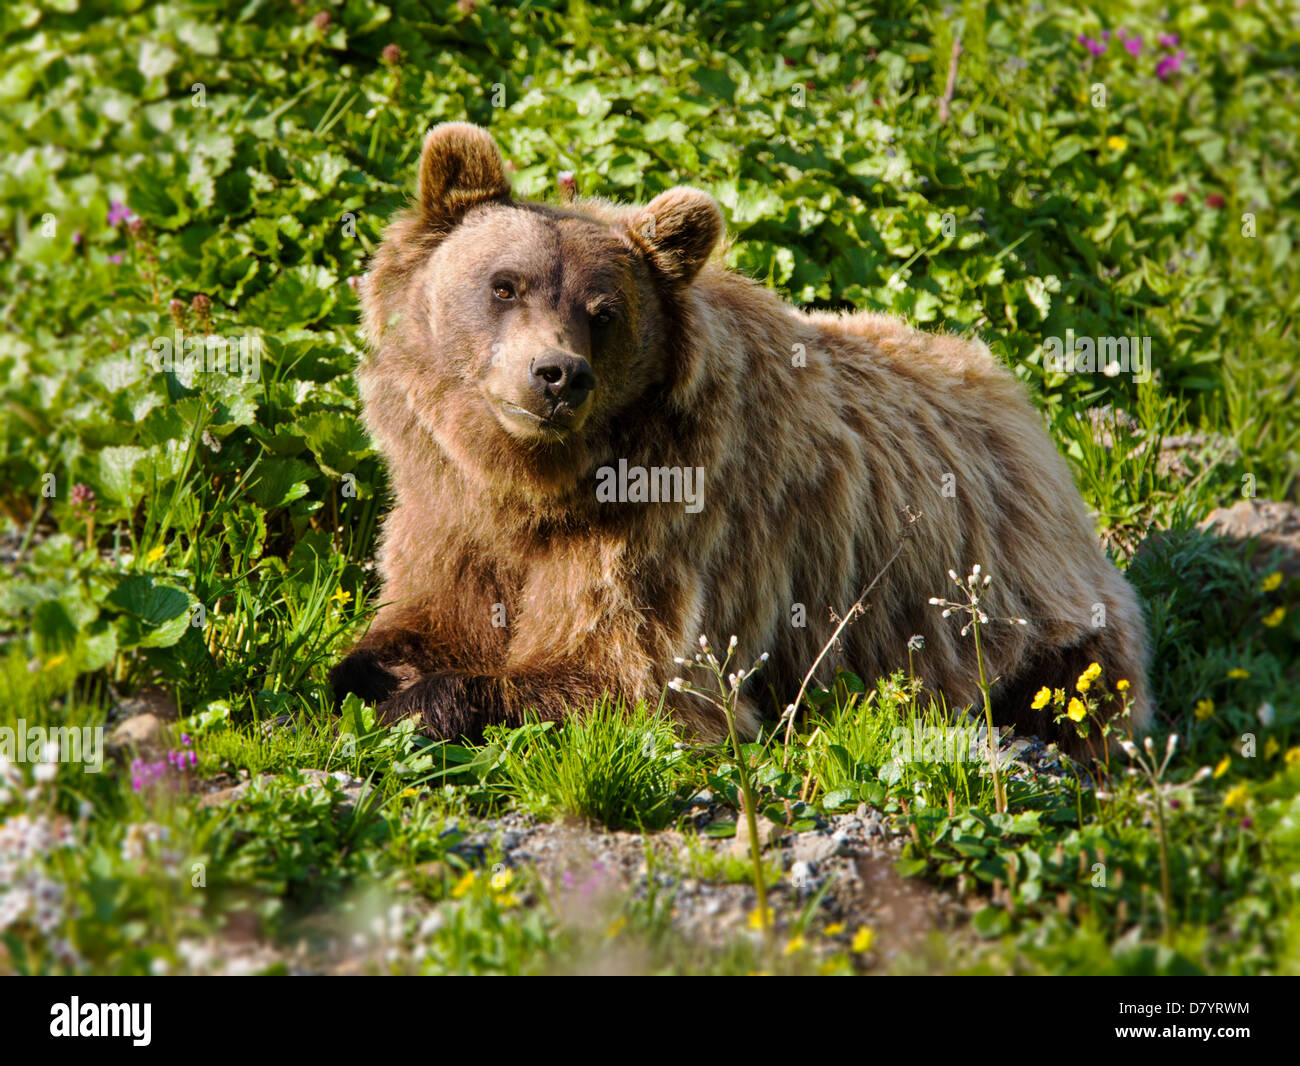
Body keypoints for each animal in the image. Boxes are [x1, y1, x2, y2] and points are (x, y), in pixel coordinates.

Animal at [330, 120, 1154, 754]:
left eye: (603, 311)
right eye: (505, 285)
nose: (557, 375)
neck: (531, 484)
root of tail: (1017, 400)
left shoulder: (662, 529)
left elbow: (625, 674)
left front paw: (425, 699)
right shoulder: (449, 511)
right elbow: (428, 611)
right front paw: (366, 672)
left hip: (1026, 607)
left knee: (1081, 692)